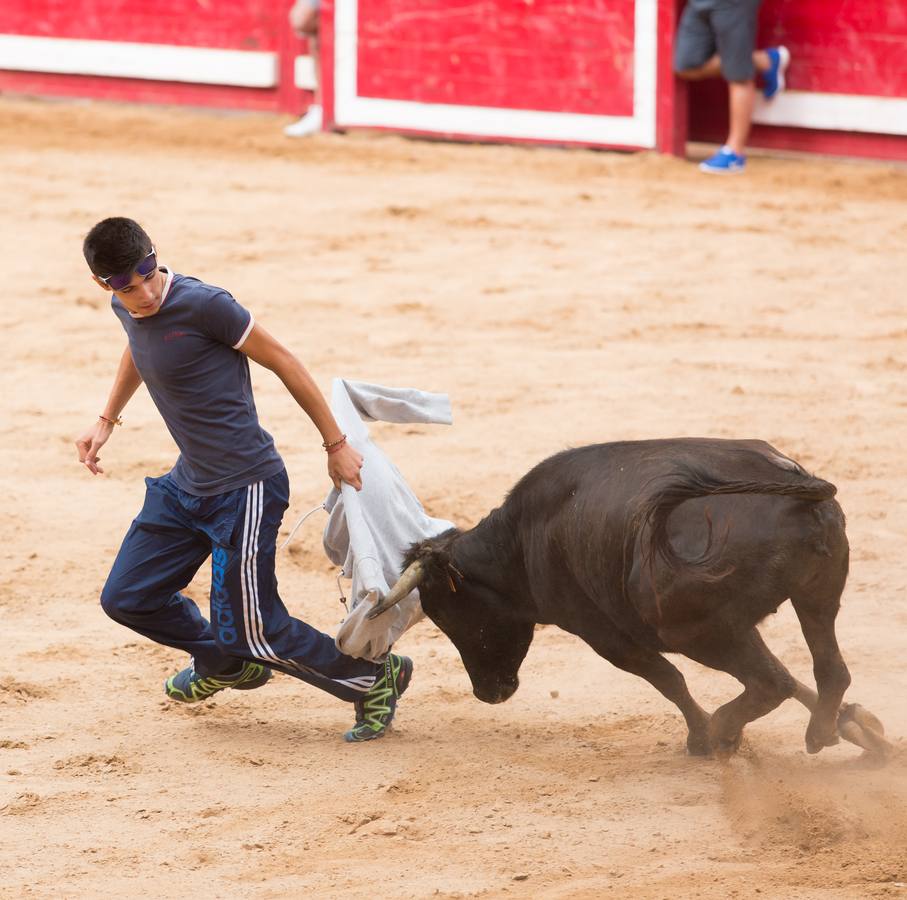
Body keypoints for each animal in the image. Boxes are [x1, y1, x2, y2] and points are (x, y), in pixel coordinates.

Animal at [372, 440, 892, 756]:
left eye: (446, 614)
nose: (488, 693)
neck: (523, 538)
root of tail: (785, 480)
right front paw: (860, 728)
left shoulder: (607, 637)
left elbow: (669, 681)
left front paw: (701, 735)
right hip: (813, 596)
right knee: (825, 669)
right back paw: (825, 730)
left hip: (698, 630)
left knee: (772, 682)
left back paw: (720, 734)